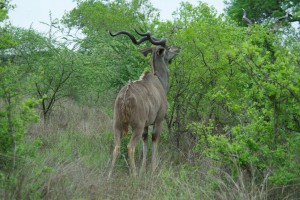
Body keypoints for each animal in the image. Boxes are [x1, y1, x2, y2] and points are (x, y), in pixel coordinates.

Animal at [108, 29, 180, 177]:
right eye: (168, 47)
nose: (178, 48)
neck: (159, 81)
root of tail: (125, 95)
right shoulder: (158, 121)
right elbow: (154, 139)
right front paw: (152, 169)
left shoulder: (146, 125)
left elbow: (145, 140)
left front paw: (143, 169)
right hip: (137, 126)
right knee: (130, 147)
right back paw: (134, 175)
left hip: (117, 125)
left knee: (117, 146)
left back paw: (109, 175)